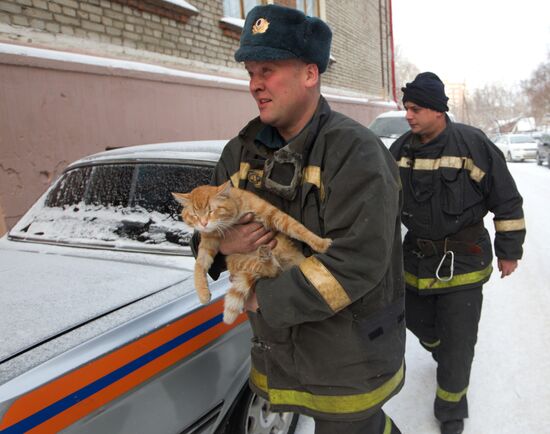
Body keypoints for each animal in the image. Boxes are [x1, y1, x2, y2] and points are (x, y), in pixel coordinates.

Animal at [174, 181, 332, 324]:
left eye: (211, 211)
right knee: (271, 271)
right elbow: (200, 264)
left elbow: (298, 228)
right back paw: (267, 259)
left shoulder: (271, 213)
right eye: (194, 215)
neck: (232, 218)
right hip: (238, 260)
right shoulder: (209, 241)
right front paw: (202, 293)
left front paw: (321, 243)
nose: (203, 223)